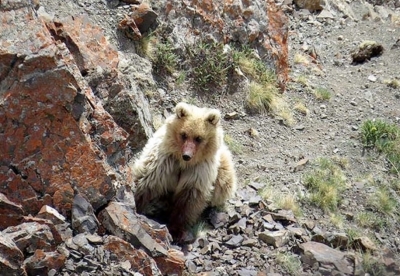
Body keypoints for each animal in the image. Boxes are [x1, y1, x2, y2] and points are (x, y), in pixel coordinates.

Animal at [131, 102, 238, 242]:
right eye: (184, 134)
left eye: (198, 138)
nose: (187, 155)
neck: (183, 164)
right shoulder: (165, 161)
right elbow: (148, 179)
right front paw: (136, 204)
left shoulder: (198, 171)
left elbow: (189, 198)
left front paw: (176, 230)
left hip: (225, 170)